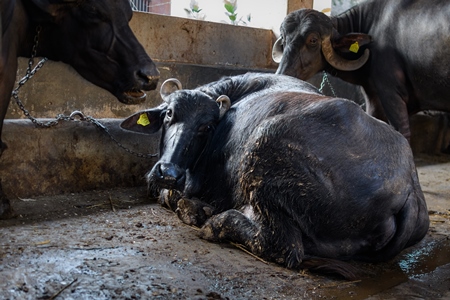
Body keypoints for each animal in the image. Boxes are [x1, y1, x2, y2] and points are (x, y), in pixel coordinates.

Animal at [121, 72, 430, 278]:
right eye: (169, 114)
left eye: (206, 128)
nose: (168, 173)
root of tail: (409, 186)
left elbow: (168, 195)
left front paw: (192, 207)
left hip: (266, 143)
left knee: (282, 247)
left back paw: (217, 221)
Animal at [272, 0, 450, 142]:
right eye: (284, 38)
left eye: (313, 40)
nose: (282, 74)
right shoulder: (373, 95)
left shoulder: (392, 93)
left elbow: (402, 133)